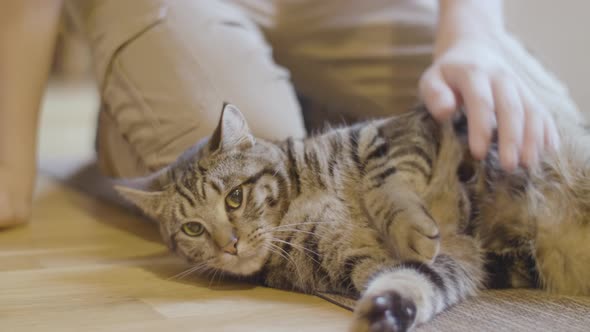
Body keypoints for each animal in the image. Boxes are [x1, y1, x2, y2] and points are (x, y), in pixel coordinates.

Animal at [114, 104, 590, 332]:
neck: (301, 198)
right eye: (193, 228)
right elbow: (409, 280)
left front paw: (409, 226)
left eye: (234, 198)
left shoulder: (395, 132)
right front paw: (382, 312)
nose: (228, 245)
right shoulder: (436, 261)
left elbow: (385, 184)